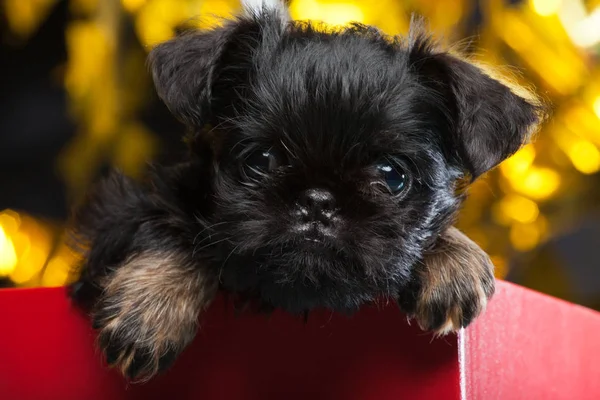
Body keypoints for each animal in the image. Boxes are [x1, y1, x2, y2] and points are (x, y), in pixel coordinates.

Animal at [69, 0, 544, 382]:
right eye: (260, 160)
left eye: (392, 176)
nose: (317, 201)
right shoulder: (120, 216)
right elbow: (170, 227)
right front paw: (152, 307)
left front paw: (453, 257)